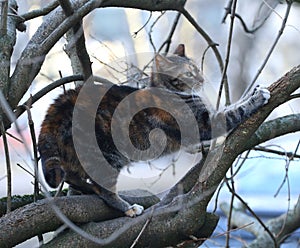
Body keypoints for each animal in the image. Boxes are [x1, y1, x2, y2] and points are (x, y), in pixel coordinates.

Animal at [37, 44, 270, 217]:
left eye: (197, 68)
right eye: (188, 73)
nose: (202, 79)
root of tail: (57, 108)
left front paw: (256, 90)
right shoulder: (203, 123)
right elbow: (232, 112)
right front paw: (257, 98)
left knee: (73, 178)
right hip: (106, 154)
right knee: (102, 188)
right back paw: (127, 207)